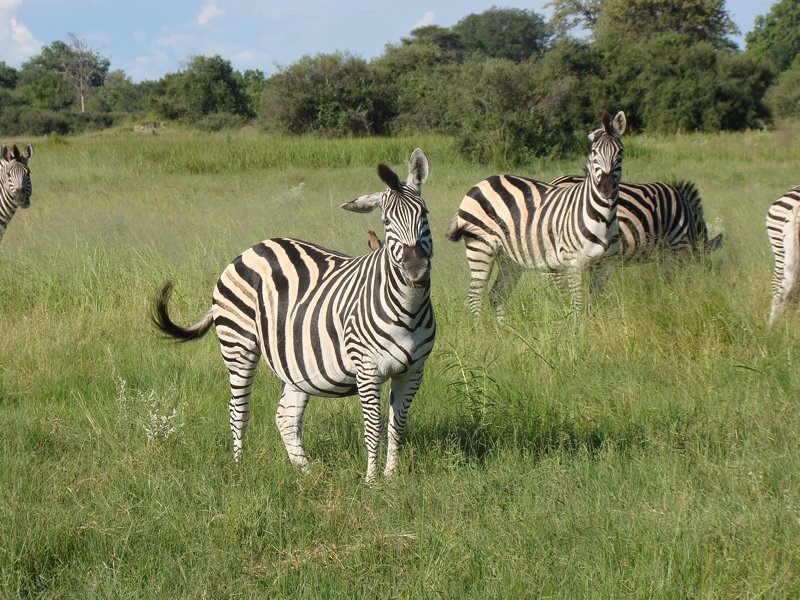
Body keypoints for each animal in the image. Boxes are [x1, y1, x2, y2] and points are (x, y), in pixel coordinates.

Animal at [152, 149, 434, 482]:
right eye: (386, 221)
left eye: (424, 214)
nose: (416, 271)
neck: (408, 308)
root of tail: (253, 248)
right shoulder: (367, 370)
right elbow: (374, 427)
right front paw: (372, 482)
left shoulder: (414, 370)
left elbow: (397, 425)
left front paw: (391, 479)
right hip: (238, 343)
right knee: (238, 409)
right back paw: (239, 468)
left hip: (295, 361)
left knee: (285, 416)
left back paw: (306, 473)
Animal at [444, 112, 624, 318]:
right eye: (594, 153)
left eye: (620, 153)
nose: (606, 188)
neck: (603, 218)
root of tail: (480, 183)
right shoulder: (573, 262)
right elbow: (577, 305)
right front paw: (577, 326)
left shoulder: (605, 266)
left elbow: (592, 304)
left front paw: (592, 324)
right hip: (480, 247)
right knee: (475, 295)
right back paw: (479, 327)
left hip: (508, 256)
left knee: (498, 294)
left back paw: (505, 328)